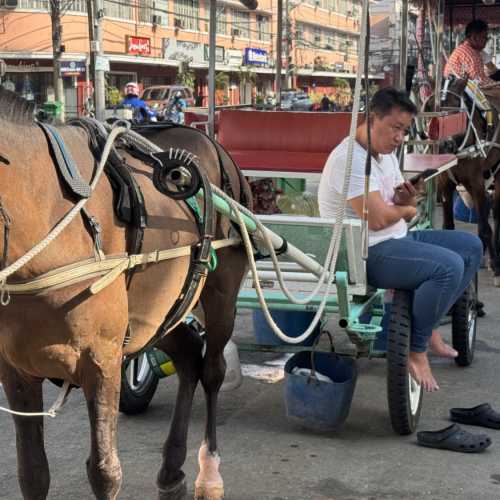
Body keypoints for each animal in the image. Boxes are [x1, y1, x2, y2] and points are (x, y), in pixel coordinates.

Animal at [0, 90, 250, 500]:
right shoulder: (17, 369)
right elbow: (32, 472)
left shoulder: (101, 361)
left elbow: (105, 471)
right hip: (157, 313)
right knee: (188, 357)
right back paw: (171, 470)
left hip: (221, 294)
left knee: (213, 370)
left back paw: (209, 472)